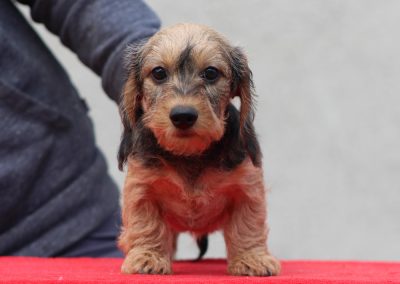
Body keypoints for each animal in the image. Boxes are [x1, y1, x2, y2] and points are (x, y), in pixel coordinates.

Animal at [117, 23, 280, 276]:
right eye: (159, 73)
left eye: (211, 73)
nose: (183, 116)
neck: (190, 154)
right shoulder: (141, 188)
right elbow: (146, 224)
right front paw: (147, 257)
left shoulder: (247, 189)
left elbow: (247, 226)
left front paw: (251, 259)